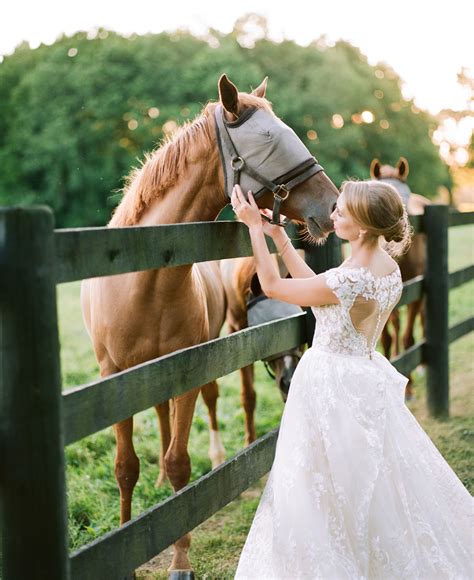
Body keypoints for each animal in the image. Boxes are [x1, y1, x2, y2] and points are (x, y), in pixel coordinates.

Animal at [370, 157, 434, 398]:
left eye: (403, 202)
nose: (392, 242)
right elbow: (387, 338)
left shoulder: (415, 294)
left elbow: (408, 338)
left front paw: (410, 389)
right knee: (396, 328)